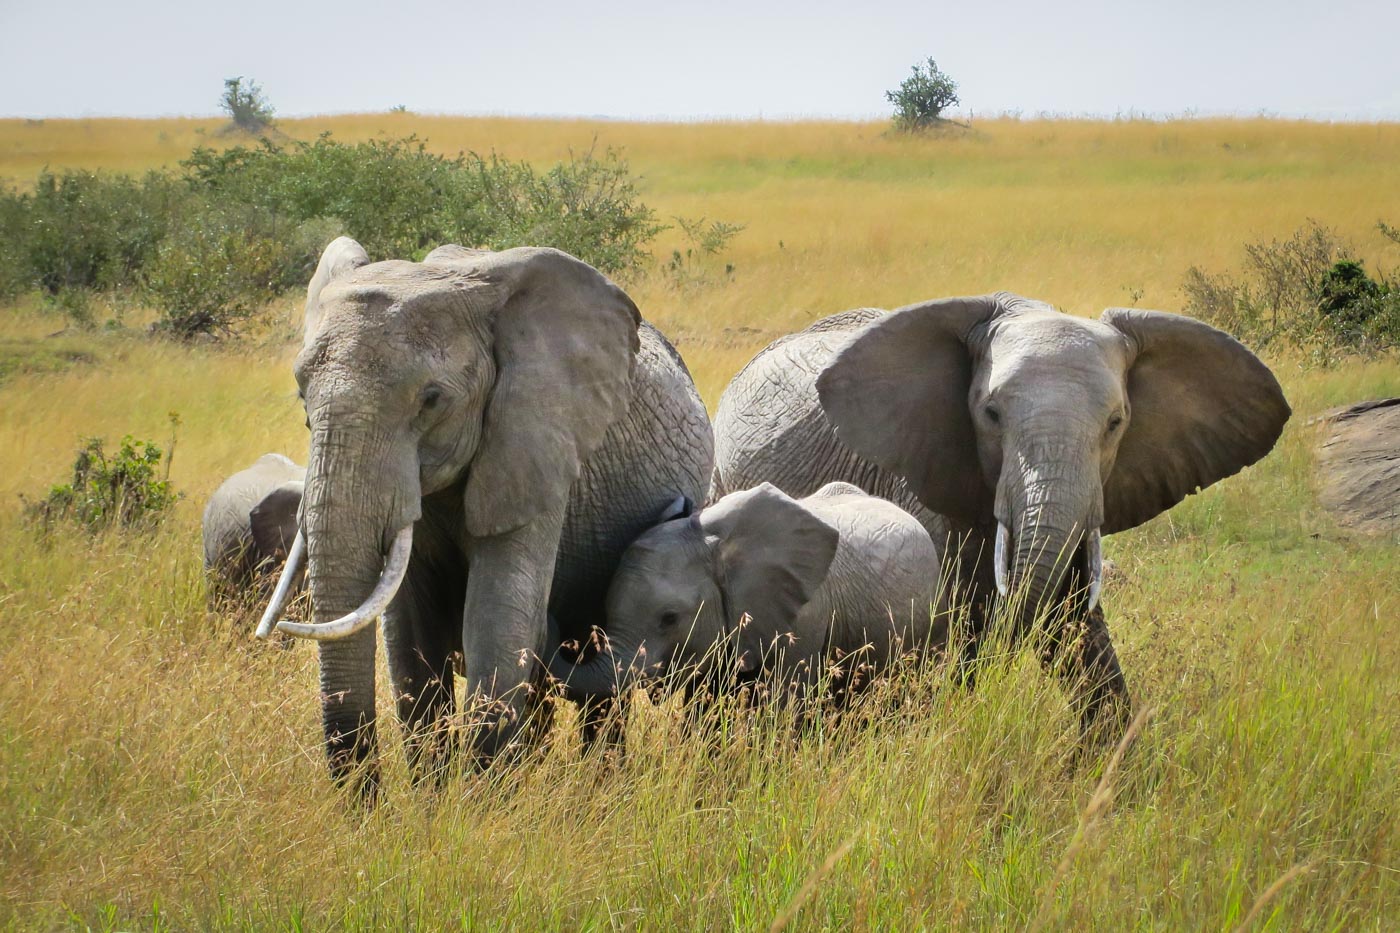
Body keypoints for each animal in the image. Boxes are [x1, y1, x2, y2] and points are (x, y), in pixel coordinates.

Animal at [257, 236, 711, 795]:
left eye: (432, 400)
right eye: (302, 396)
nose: (369, 806)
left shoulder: (538, 443)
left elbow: (497, 615)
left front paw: (481, 805)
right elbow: (410, 633)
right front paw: (433, 803)